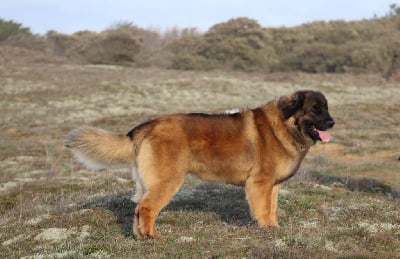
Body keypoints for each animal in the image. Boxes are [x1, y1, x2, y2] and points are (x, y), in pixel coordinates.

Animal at [65, 90, 334, 241]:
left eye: (326, 108)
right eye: (314, 109)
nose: (332, 122)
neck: (284, 126)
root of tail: (147, 125)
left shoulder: (272, 186)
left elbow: (272, 209)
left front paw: (274, 227)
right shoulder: (260, 184)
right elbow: (263, 210)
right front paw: (266, 231)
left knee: (138, 209)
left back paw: (140, 237)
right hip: (168, 181)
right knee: (147, 209)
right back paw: (152, 237)